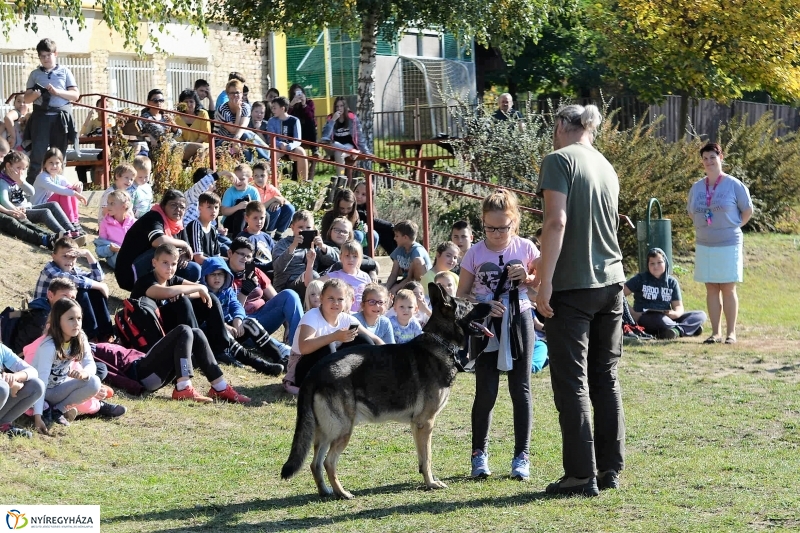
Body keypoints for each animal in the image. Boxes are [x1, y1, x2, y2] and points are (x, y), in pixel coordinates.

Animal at [282, 284, 494, 496]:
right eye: (468, 304)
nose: (493, 305)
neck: (439, 342)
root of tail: (315, 371)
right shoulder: (425, 423)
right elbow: (428, 458)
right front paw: (431, 483)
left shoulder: (417, 425)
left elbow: (422, 458)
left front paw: (428, 480)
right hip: (343, 430)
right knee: (328, 462)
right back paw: (342, 493)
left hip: (327, 432)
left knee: (315, 463)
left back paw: (325, 491)